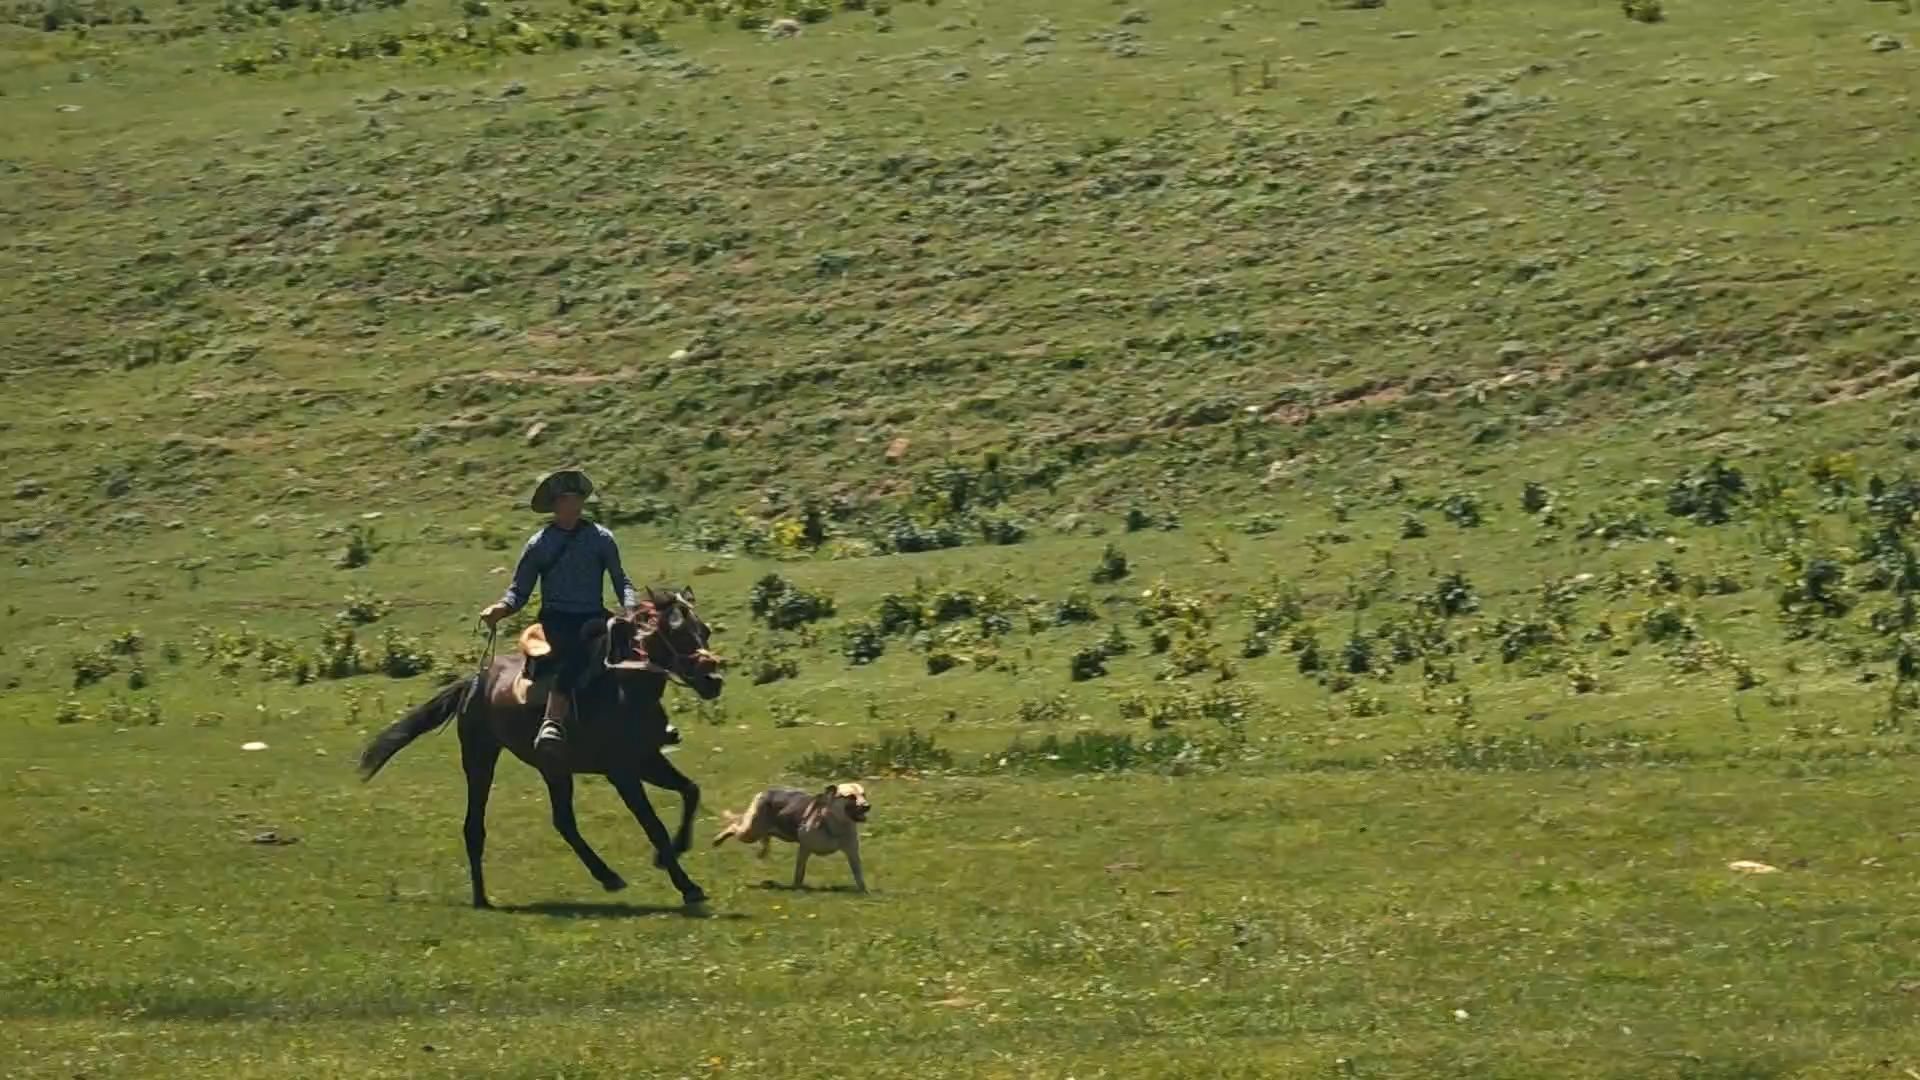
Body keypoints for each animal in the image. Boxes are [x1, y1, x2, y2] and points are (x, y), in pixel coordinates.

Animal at [357, 584, 721, 903]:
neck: (625, 690)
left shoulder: (647, 759)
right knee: (476, 826)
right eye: (676, 632)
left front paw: (674, 852)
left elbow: (691, 791)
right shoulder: (622, 772)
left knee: (563, 822)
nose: (713, 681)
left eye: (704, 630)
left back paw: (607, 877)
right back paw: (482, 897)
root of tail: (475, 680)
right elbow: (653, 825)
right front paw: (687, 886)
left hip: (553, 768)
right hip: (481, 758)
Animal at [714, 776, 871, 887]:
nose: (867, 806)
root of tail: (764, 792)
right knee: (733, 827)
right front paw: (797, 888)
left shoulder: (852, 852)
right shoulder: (805, 848)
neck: (835, 822)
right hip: (750, 832)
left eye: (863, 794)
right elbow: (799, 872)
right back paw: (718, 839)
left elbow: (859, 875)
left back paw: (762, 852)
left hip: (761, 831)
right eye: (851, 796)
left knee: (764, 840)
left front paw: (864, 891)